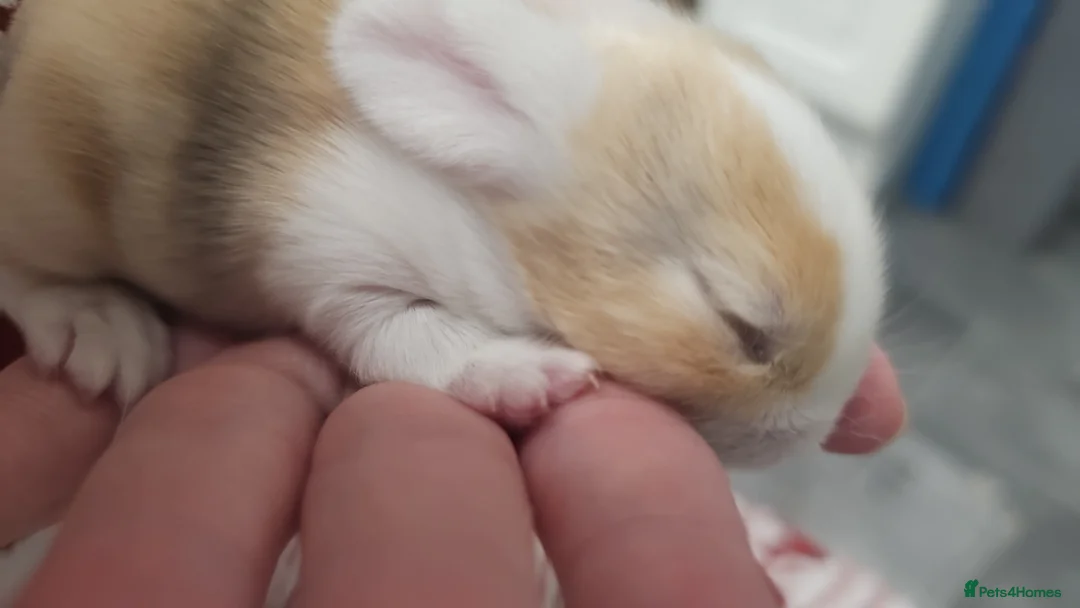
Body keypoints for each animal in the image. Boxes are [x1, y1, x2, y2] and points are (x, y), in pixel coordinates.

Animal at [0, 0, 885, 604]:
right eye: (742, 324)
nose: (809, 433)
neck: (482, 215)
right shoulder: (331, 246)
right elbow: (410, 333)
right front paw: (526, 376)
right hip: (45, 194)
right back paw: (98, 324)